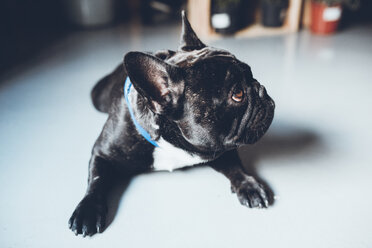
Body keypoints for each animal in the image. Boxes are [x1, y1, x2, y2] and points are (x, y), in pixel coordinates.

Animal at [68, 11, 274, 236]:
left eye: (252, 75)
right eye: (238, 94)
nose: (262, 89)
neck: (171, 141)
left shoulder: (218, 147)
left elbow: (235, 166)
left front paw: (249, 185)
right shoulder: (102, 152)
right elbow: (96, 180)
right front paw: (87, 209)